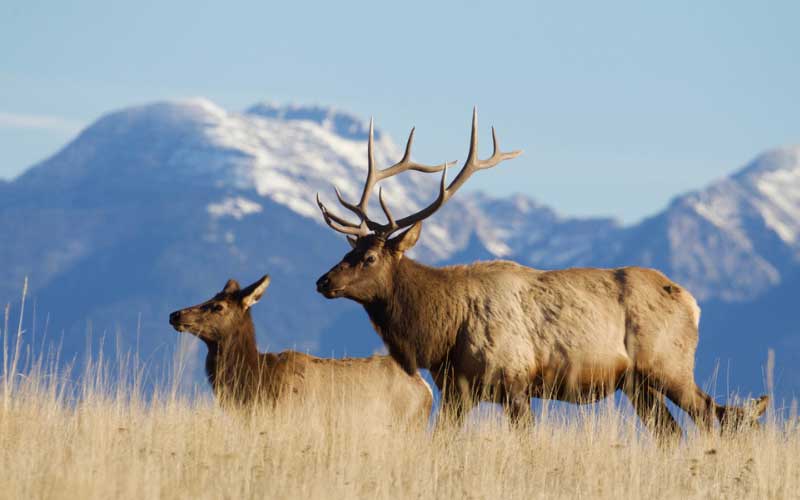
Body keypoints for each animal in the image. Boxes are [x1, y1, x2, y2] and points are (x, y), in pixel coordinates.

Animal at [314, 110, 768, 438]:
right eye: (348, 250)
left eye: (370, 257)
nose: (323, 281)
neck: (442, 333)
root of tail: (693, 303)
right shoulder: (458, 390)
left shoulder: (515, 382)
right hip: (636, 382)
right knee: (672, 433)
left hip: (669, 363)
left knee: (711, 414)